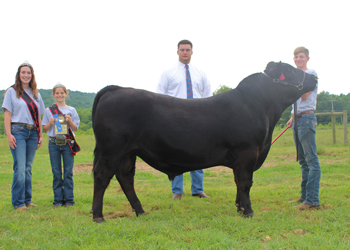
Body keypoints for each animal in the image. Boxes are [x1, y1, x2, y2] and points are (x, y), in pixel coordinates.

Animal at [90, 61, 318, 222]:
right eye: (290, 70)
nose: (314, 78)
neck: (259, 106)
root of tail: (117, 88)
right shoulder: (247, 151)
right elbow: (245, 182)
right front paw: (249, 212)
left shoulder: (242, 157)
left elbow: (238, 181)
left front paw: (239, 208)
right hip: (112, 150)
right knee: (102, 177)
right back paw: (98, 216)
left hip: (129, 153)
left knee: (125, 178)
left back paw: (140, 211)